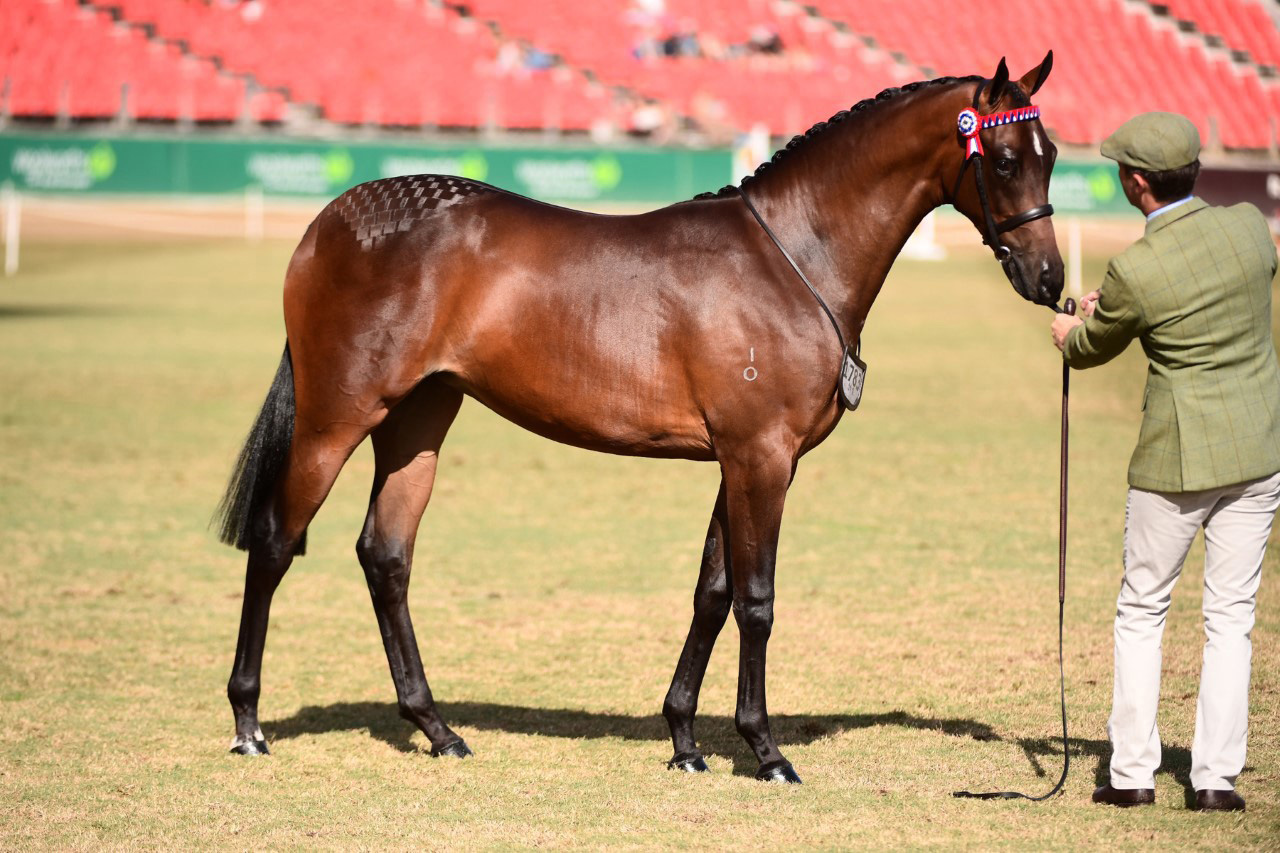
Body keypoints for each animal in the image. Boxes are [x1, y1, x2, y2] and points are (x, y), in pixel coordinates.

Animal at [217, 54, 1059, 783]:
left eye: (1051, 154)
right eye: (1004, 158)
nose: (1049, 277)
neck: (790, 259)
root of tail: (331, 221)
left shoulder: (739, 459)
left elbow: (712, 593)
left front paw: (685, 738)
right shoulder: (763, 457)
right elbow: (756, 600)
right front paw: (765, 749)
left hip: (418, 418)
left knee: (385, 555)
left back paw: (437, 727)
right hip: (336, 417)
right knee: (275, 543)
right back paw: (249, 723)